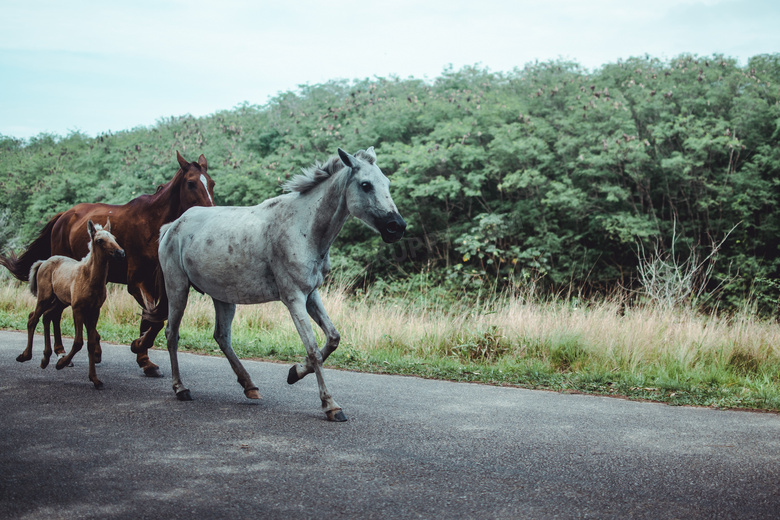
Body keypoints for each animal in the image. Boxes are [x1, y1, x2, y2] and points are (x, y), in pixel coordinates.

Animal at [0, 152, 213, 376]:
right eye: (191, 183)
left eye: (212, 183)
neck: (151, 223)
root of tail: (62, 217)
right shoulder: (137, 283)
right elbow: (154, 318)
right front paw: (138, 346)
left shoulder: (156, 285)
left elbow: (151, 319)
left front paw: (144, 359)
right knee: (55, 314)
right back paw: (61, 353)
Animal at [156, 147, 406, 422]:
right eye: (365, 185)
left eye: (387, 183)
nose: (397, 227)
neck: (303, 228)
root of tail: (172, 226)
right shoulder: (293, 298)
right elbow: (313, 350)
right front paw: (330, 405)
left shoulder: (311, 295)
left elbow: (333, 338)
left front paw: (294, 373)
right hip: (177, 289)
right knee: (172, 334)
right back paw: (181, 388)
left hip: (222, 296)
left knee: (222, 337)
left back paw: (250, 386)